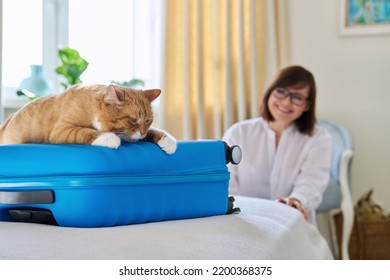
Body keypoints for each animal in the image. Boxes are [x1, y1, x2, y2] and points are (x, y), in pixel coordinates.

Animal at [0, 83, 177, 153]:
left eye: (148, 121)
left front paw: (167, 140)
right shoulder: (62, 130)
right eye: (133, 120)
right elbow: (84, 132)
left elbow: (155, 131)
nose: (142, 132)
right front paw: (108, 138)